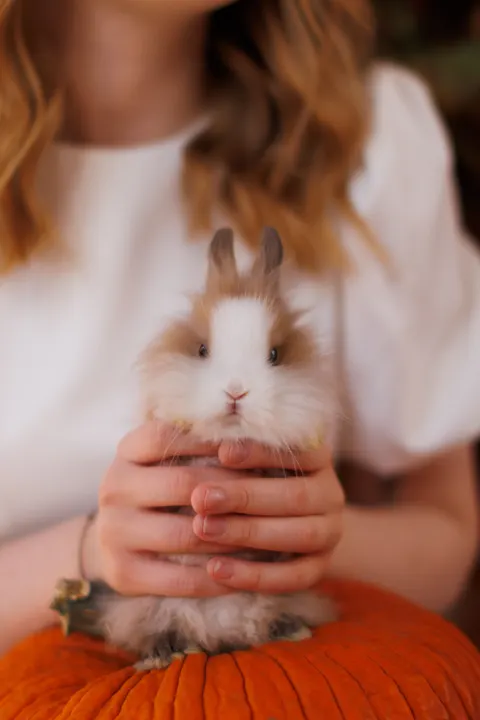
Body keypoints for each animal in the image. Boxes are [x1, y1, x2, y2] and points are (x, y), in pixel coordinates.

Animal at [97, 226, 338, 671]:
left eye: (274, 354)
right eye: (202, 350)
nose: (236, 392)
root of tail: (220, 633)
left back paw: (289, 628)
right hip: (146, 606)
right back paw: (163, 654)